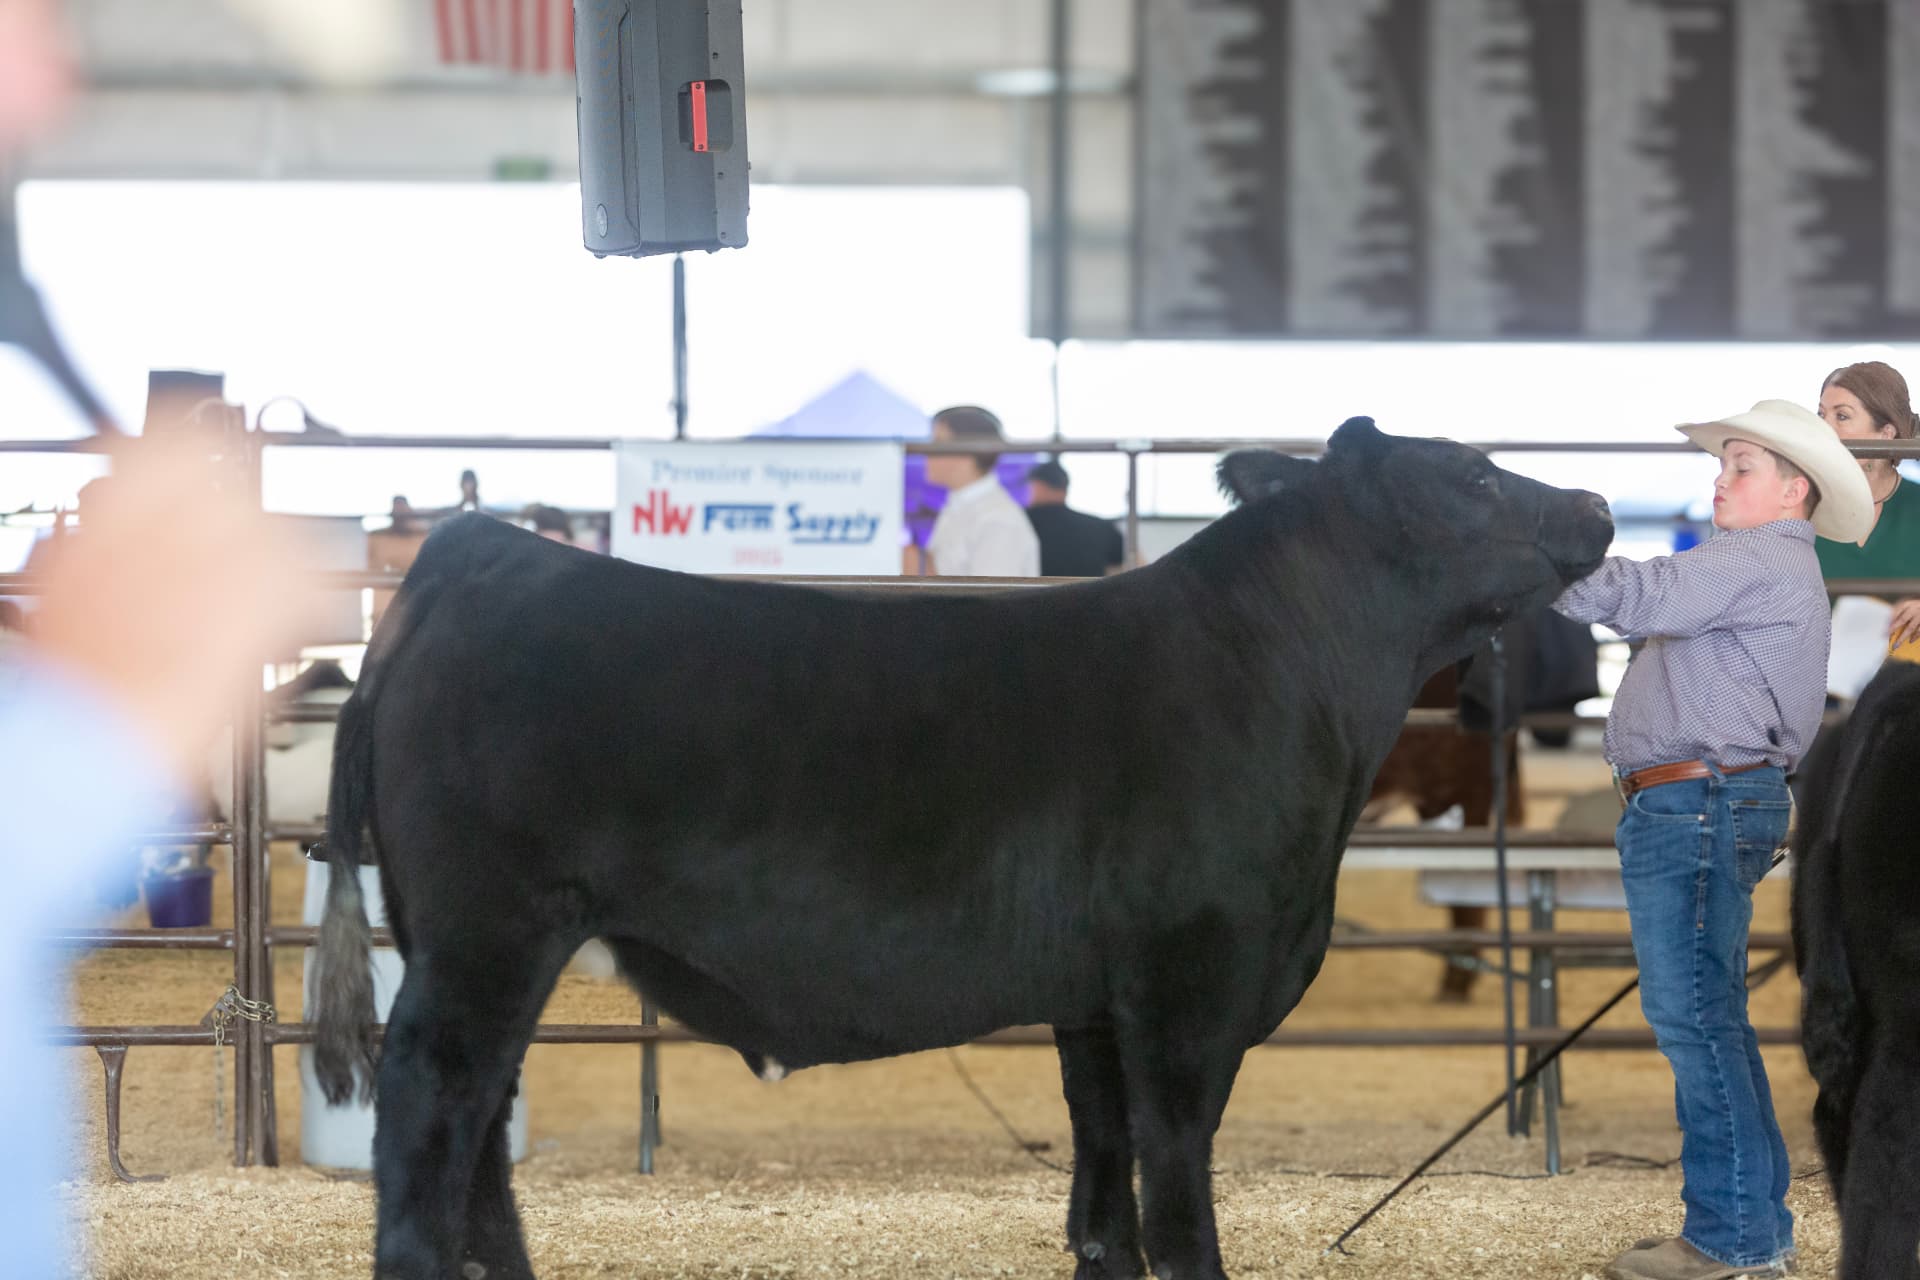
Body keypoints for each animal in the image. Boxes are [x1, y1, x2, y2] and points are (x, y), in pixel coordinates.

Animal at [311, 418, 1613, 1280]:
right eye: (1475, 470)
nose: (1599, 508)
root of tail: (474, 556)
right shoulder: (1188, 982)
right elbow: (1176, 1178)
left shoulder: (1095, 1000)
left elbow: (1103, 1178)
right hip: (486, 934)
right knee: (431, 1108)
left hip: (486, 940)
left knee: (482, 1120)